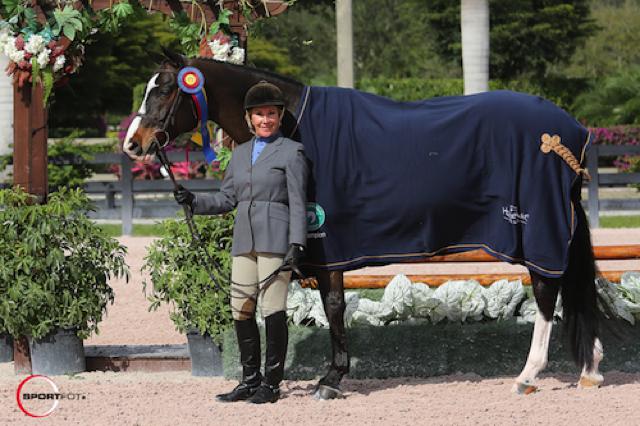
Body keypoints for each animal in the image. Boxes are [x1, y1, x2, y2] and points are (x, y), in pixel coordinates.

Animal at [124, 50, 604, 400]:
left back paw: (528, 375)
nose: (132, 144)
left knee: (546, 291)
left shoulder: (328, 243)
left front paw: (331, 379)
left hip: (536, 230)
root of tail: (570, 131)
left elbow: (334, 307)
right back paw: (590, 369)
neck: (295, 123)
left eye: (163, 90)